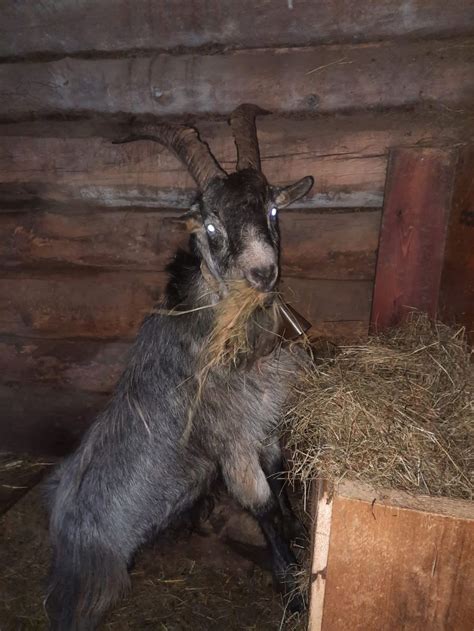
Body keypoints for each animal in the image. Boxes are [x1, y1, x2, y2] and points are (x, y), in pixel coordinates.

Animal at [45, 103, 314, 628]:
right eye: (211, 227)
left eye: (272, 210)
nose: (263, 272)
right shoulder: (230, 442)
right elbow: (263, 507)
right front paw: (292, 590)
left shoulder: (265, 424)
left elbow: (280, 478)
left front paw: (299, 531)